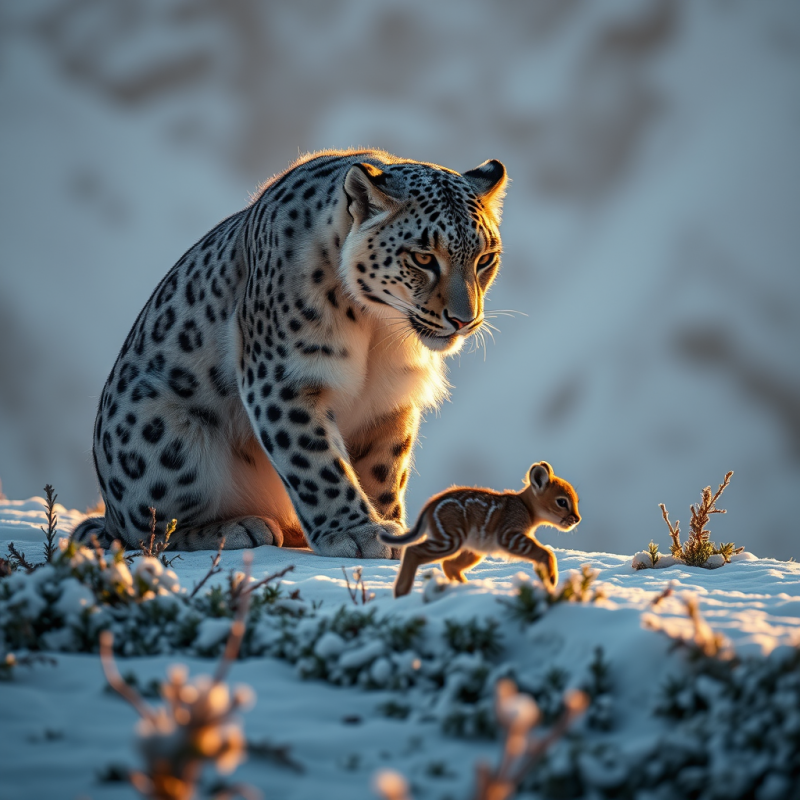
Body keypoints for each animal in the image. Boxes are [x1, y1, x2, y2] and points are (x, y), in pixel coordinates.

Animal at [72, 149, 508, 558]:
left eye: (485, 258)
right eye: (423, 257)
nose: (464, 319)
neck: (379, 328)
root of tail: (109, 512)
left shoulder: (391, 399)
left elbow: (385, 467)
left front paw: (391, 526)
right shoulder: (285, 380)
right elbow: (316, 463)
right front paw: (355, 532)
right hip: (164, 431)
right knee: (149, 530)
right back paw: (239, 527)